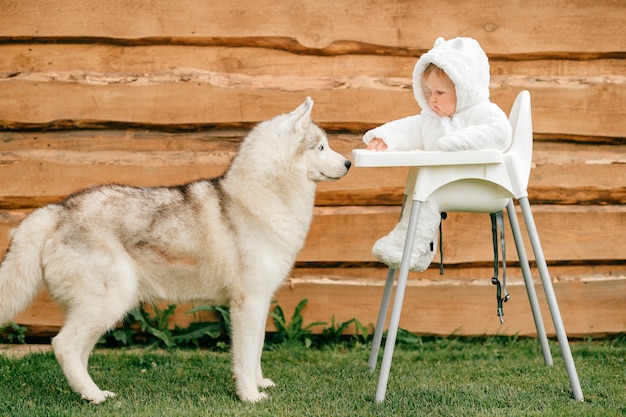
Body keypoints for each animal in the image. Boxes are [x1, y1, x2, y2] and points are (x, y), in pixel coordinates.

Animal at [0, 97, 352, 404]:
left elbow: (256, 352)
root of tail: (58, 210)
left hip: (100, 310)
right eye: (321, 147)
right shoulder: (247, 303)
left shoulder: (260, 301)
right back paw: (93, 396)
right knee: (63, 346)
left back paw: (91, 392)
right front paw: (250, 396)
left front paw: (260, 383)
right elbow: (245, 357)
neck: (262, 198)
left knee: (77, 351)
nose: (349, 163)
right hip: (110, 302)